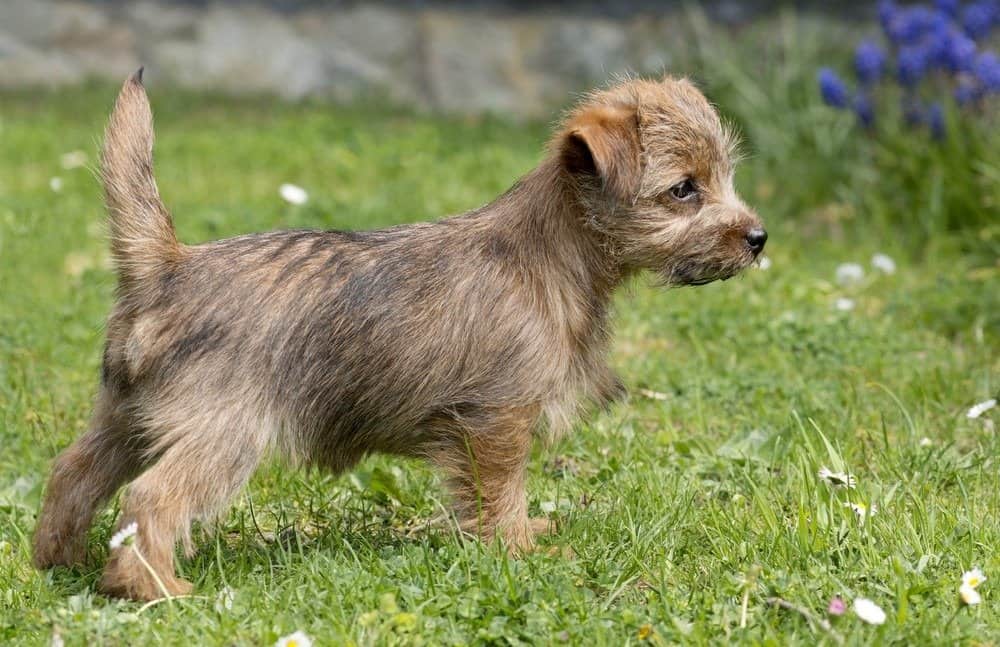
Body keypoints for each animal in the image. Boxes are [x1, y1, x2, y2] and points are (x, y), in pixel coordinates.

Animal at [31, 68, 764, 600]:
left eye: (724, 177)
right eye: (684, 190)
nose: (758, 237)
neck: (552, 253)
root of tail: (167, 265)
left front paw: (524, 535)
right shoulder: (497, 420)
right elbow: (501, 491)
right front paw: (519, 549)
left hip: (127, 417)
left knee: (73, 471)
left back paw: (58, 559)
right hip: (224, 432)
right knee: (151, 497)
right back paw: (155, 589)